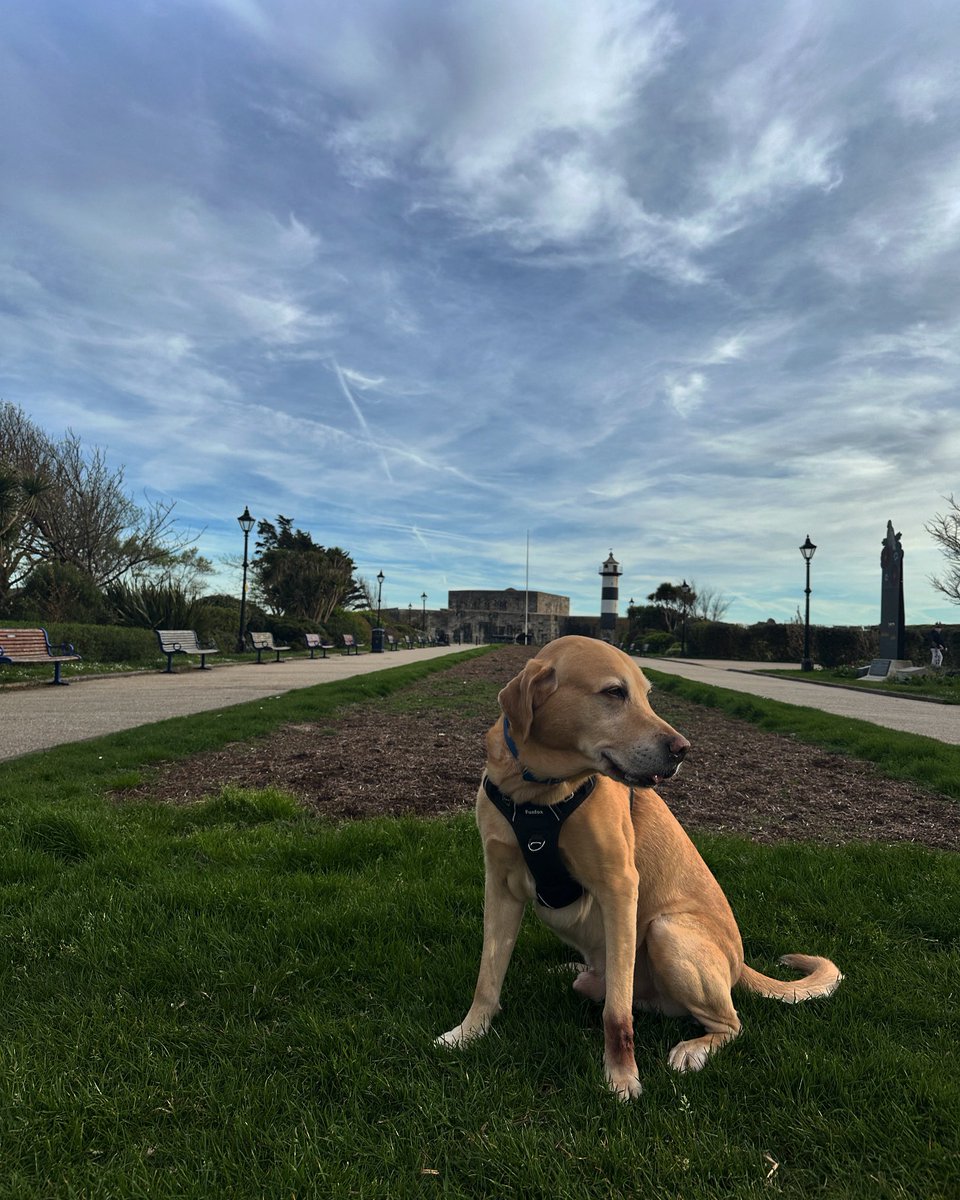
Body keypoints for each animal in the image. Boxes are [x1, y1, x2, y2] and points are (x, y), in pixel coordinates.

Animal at [439, 638, 844, 1099]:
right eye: (615, 692)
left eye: (648, 695)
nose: (683, 749)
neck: (538, 792)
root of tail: (740, 965)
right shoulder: (500, 887)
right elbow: (488, 977)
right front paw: (469, 1032)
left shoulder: (618, 888)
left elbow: (617, 1015)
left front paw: (621, 1076)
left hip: (667, 931)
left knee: (729, 1022)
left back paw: (694, 1049)